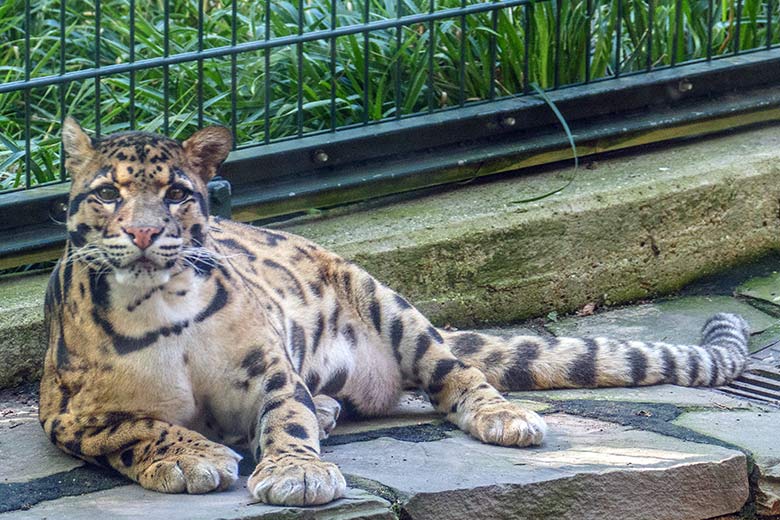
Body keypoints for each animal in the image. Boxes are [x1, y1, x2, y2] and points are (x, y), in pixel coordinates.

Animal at [39, 117, 752, 504]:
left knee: (459, 374)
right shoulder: (68, 414)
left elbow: (287, 418)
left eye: (177, 195)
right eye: (108, 194)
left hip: (384, 300)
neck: (164, 306)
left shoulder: (273, 376)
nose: (143, 233)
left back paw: (505, 417)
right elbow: (137, 430)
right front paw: (193, 457)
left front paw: (298, 473)